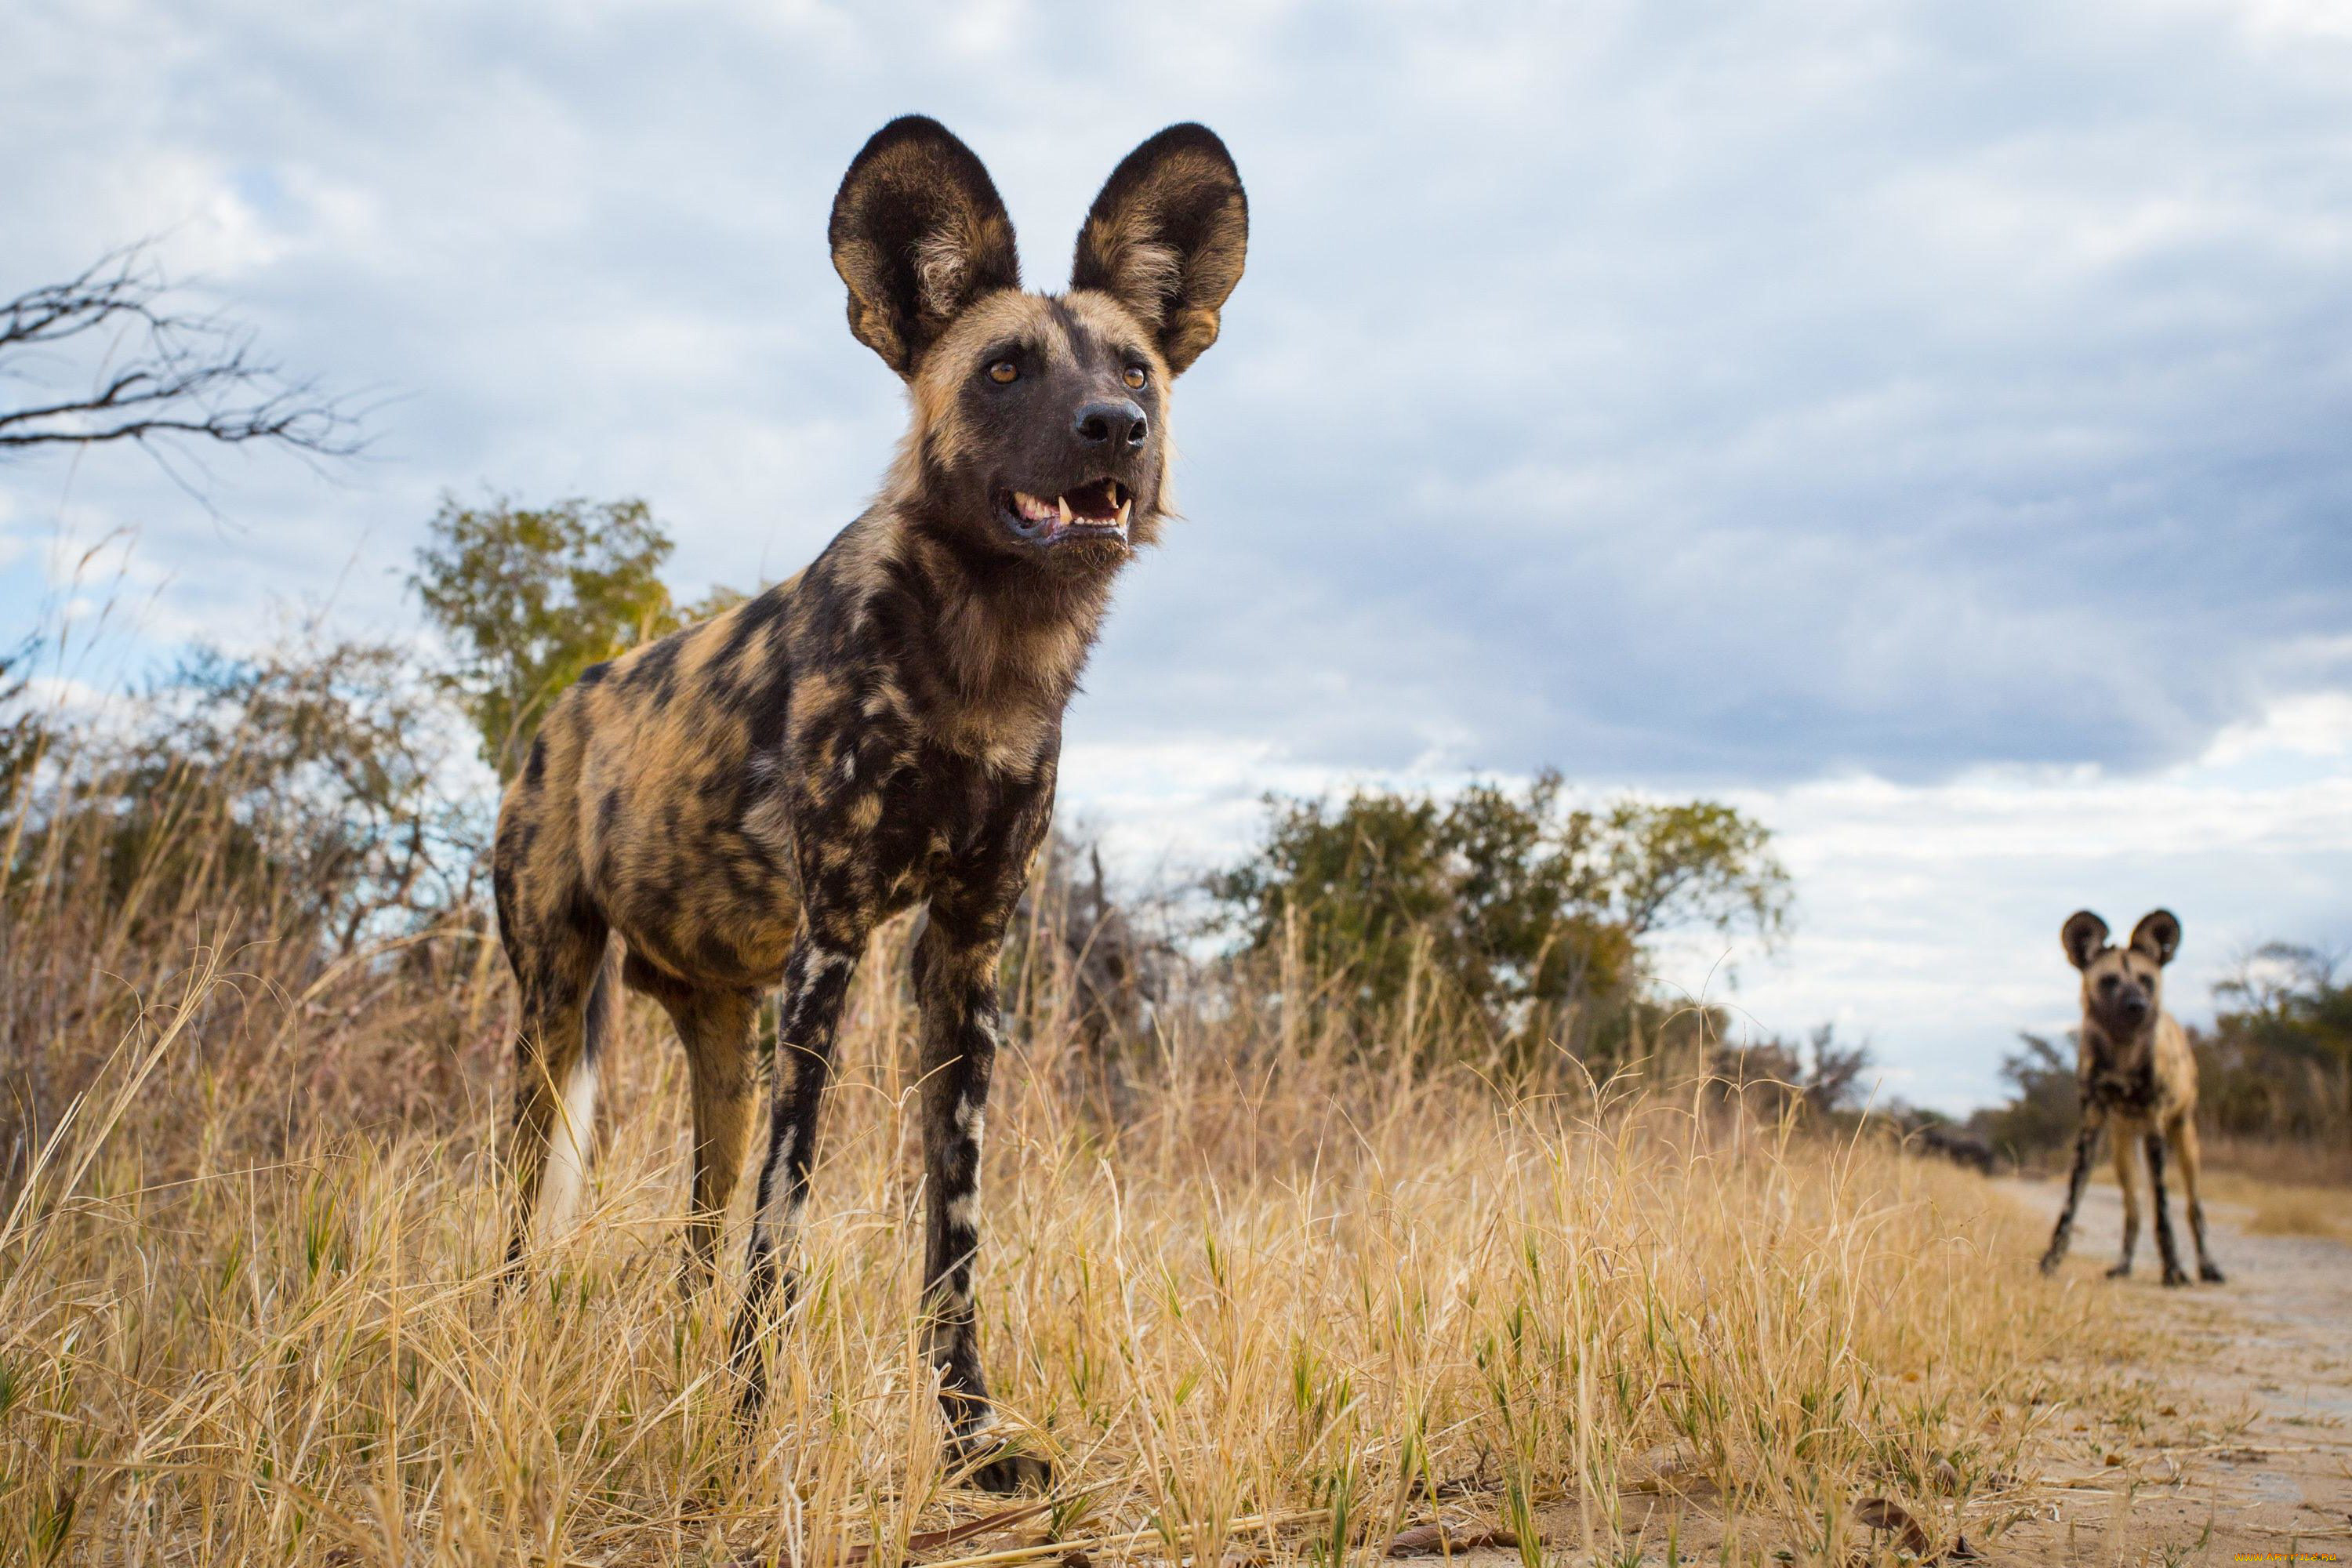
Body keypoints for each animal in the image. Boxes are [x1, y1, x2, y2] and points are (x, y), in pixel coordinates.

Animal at [492, 116, 1251, 1495]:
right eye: (1004, 370)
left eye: (1136, 368)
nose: (1115, 426)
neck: (982, 663)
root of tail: (557, 711)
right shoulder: (835, 949)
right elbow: (783, 1236)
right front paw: (749, 1433)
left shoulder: (961, 961)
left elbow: (950, 1243)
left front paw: (972, 1439)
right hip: (553, 1015)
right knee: (529, 1219)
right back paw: (505, 1340)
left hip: (722, 1041)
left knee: (698, 1227)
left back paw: (675, 1366)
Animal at [2042, 907, 2220, 1288]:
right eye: (2109, 981)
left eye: (2146, 980)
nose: (2138, 1006)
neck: (2123, 1050)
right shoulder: (2091, 1127)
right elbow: (2070, 1205)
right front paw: (2050, 1261)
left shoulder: (2155, 1125)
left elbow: (2163, 1210)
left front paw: (2173, 1270)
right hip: (2122, 1146)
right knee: (2132, 1209)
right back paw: (2123, 1265)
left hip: (2184, 1138)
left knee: (2192, 1207)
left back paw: (2208, 1267)